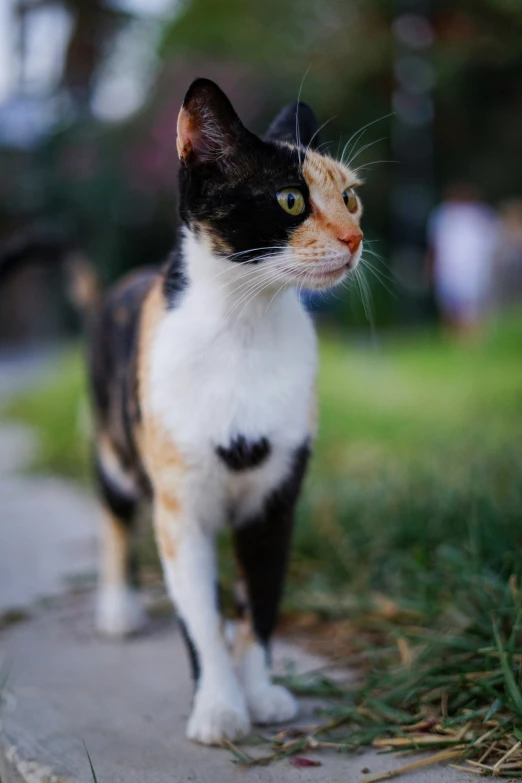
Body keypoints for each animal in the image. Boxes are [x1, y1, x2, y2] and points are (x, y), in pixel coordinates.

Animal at [0, 76, 362, 744]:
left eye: (350, 198)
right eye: (291, 200)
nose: (355, 240)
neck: (245, 331)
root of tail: (113, 289)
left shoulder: (276, 501)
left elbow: (262, 602)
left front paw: (259, 690)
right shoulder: (180, 506)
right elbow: (197, 615)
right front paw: (219, 706)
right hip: (115, 447)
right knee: (114, 516)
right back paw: (118, 606)